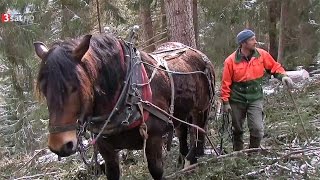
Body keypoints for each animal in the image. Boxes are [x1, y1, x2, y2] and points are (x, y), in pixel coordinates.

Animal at [33, 33, 215, 179]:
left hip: (201, 109)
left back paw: (193, 159)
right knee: (182, 132)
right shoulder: (107, 150)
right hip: (180, 112)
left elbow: (156, 171)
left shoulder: (153, 139)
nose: (59, 145)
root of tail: (198, 53)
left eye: (74, 86)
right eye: (44, 89)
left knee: (198, 132)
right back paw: (181, 161)